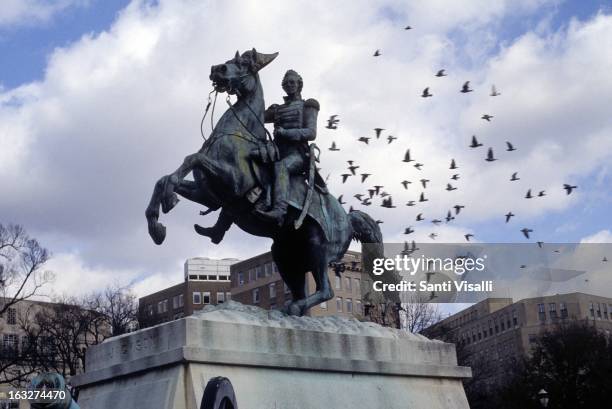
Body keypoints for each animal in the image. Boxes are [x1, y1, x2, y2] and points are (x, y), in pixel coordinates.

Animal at [145, 48, 382, 316]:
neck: (239, 133)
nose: (217, 69)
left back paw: (295, 307)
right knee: (300, 287)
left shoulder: (232, 182)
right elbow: (163, 179)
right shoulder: (208, 194)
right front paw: (156, 225)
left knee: (326, 290)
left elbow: (191, 159)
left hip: (318, 248)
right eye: (230, 60)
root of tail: (347, 217)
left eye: (244, 63)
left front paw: (168, 200)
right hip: (286, 255)